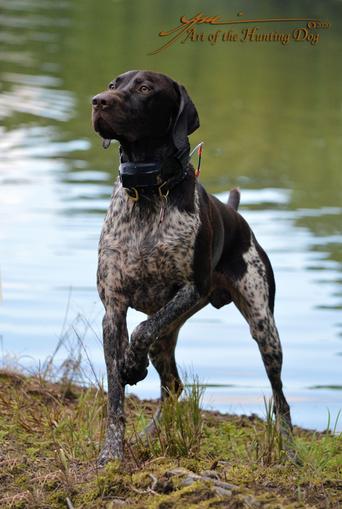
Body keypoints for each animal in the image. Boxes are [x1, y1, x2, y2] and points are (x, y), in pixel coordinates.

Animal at [92, 69, 292, 462]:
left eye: (144, 88)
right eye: (112, 86)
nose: (97, 101)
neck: (149, 192)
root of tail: (235, 214)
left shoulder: (190, 289)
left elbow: (141, 331)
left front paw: (132, 364)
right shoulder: (113, 307)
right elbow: (115, 394)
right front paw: (112, 452)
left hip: (264, 328)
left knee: (281, 399)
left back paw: (291, 453)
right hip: (168, 337)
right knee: (173, 385)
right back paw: (146, 437)